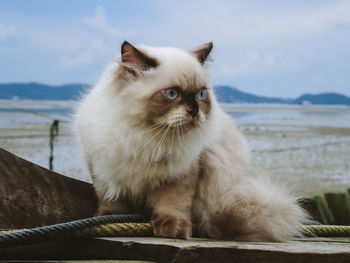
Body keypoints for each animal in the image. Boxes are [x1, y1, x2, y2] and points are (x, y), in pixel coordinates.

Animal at [74, 41, 306, 241]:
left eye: (201, 95)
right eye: (171, 93)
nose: (194, 111)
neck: (148, 138)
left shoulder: (184, 172)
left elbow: (173, 203)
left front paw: (174, 230)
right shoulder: (103, 168)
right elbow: (111, 201)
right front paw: (106, 220)